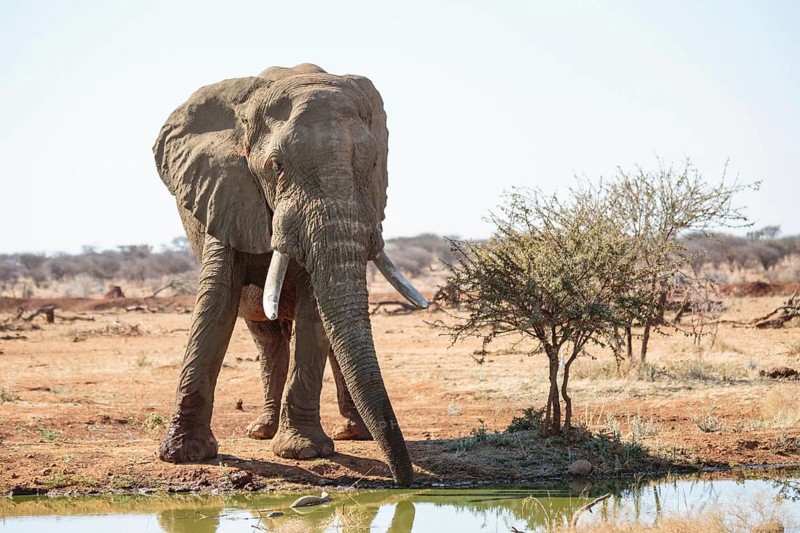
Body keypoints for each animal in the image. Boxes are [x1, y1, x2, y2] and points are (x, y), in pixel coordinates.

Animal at [152, 63, 427, 487]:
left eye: (372, 165)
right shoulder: (226, 193)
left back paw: (354, 433)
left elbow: (315, 310)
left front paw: (303, 452)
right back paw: (261, 431)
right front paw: (182, 455)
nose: (405, 483)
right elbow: (216, 302)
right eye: (276, 166)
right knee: (267, 340)